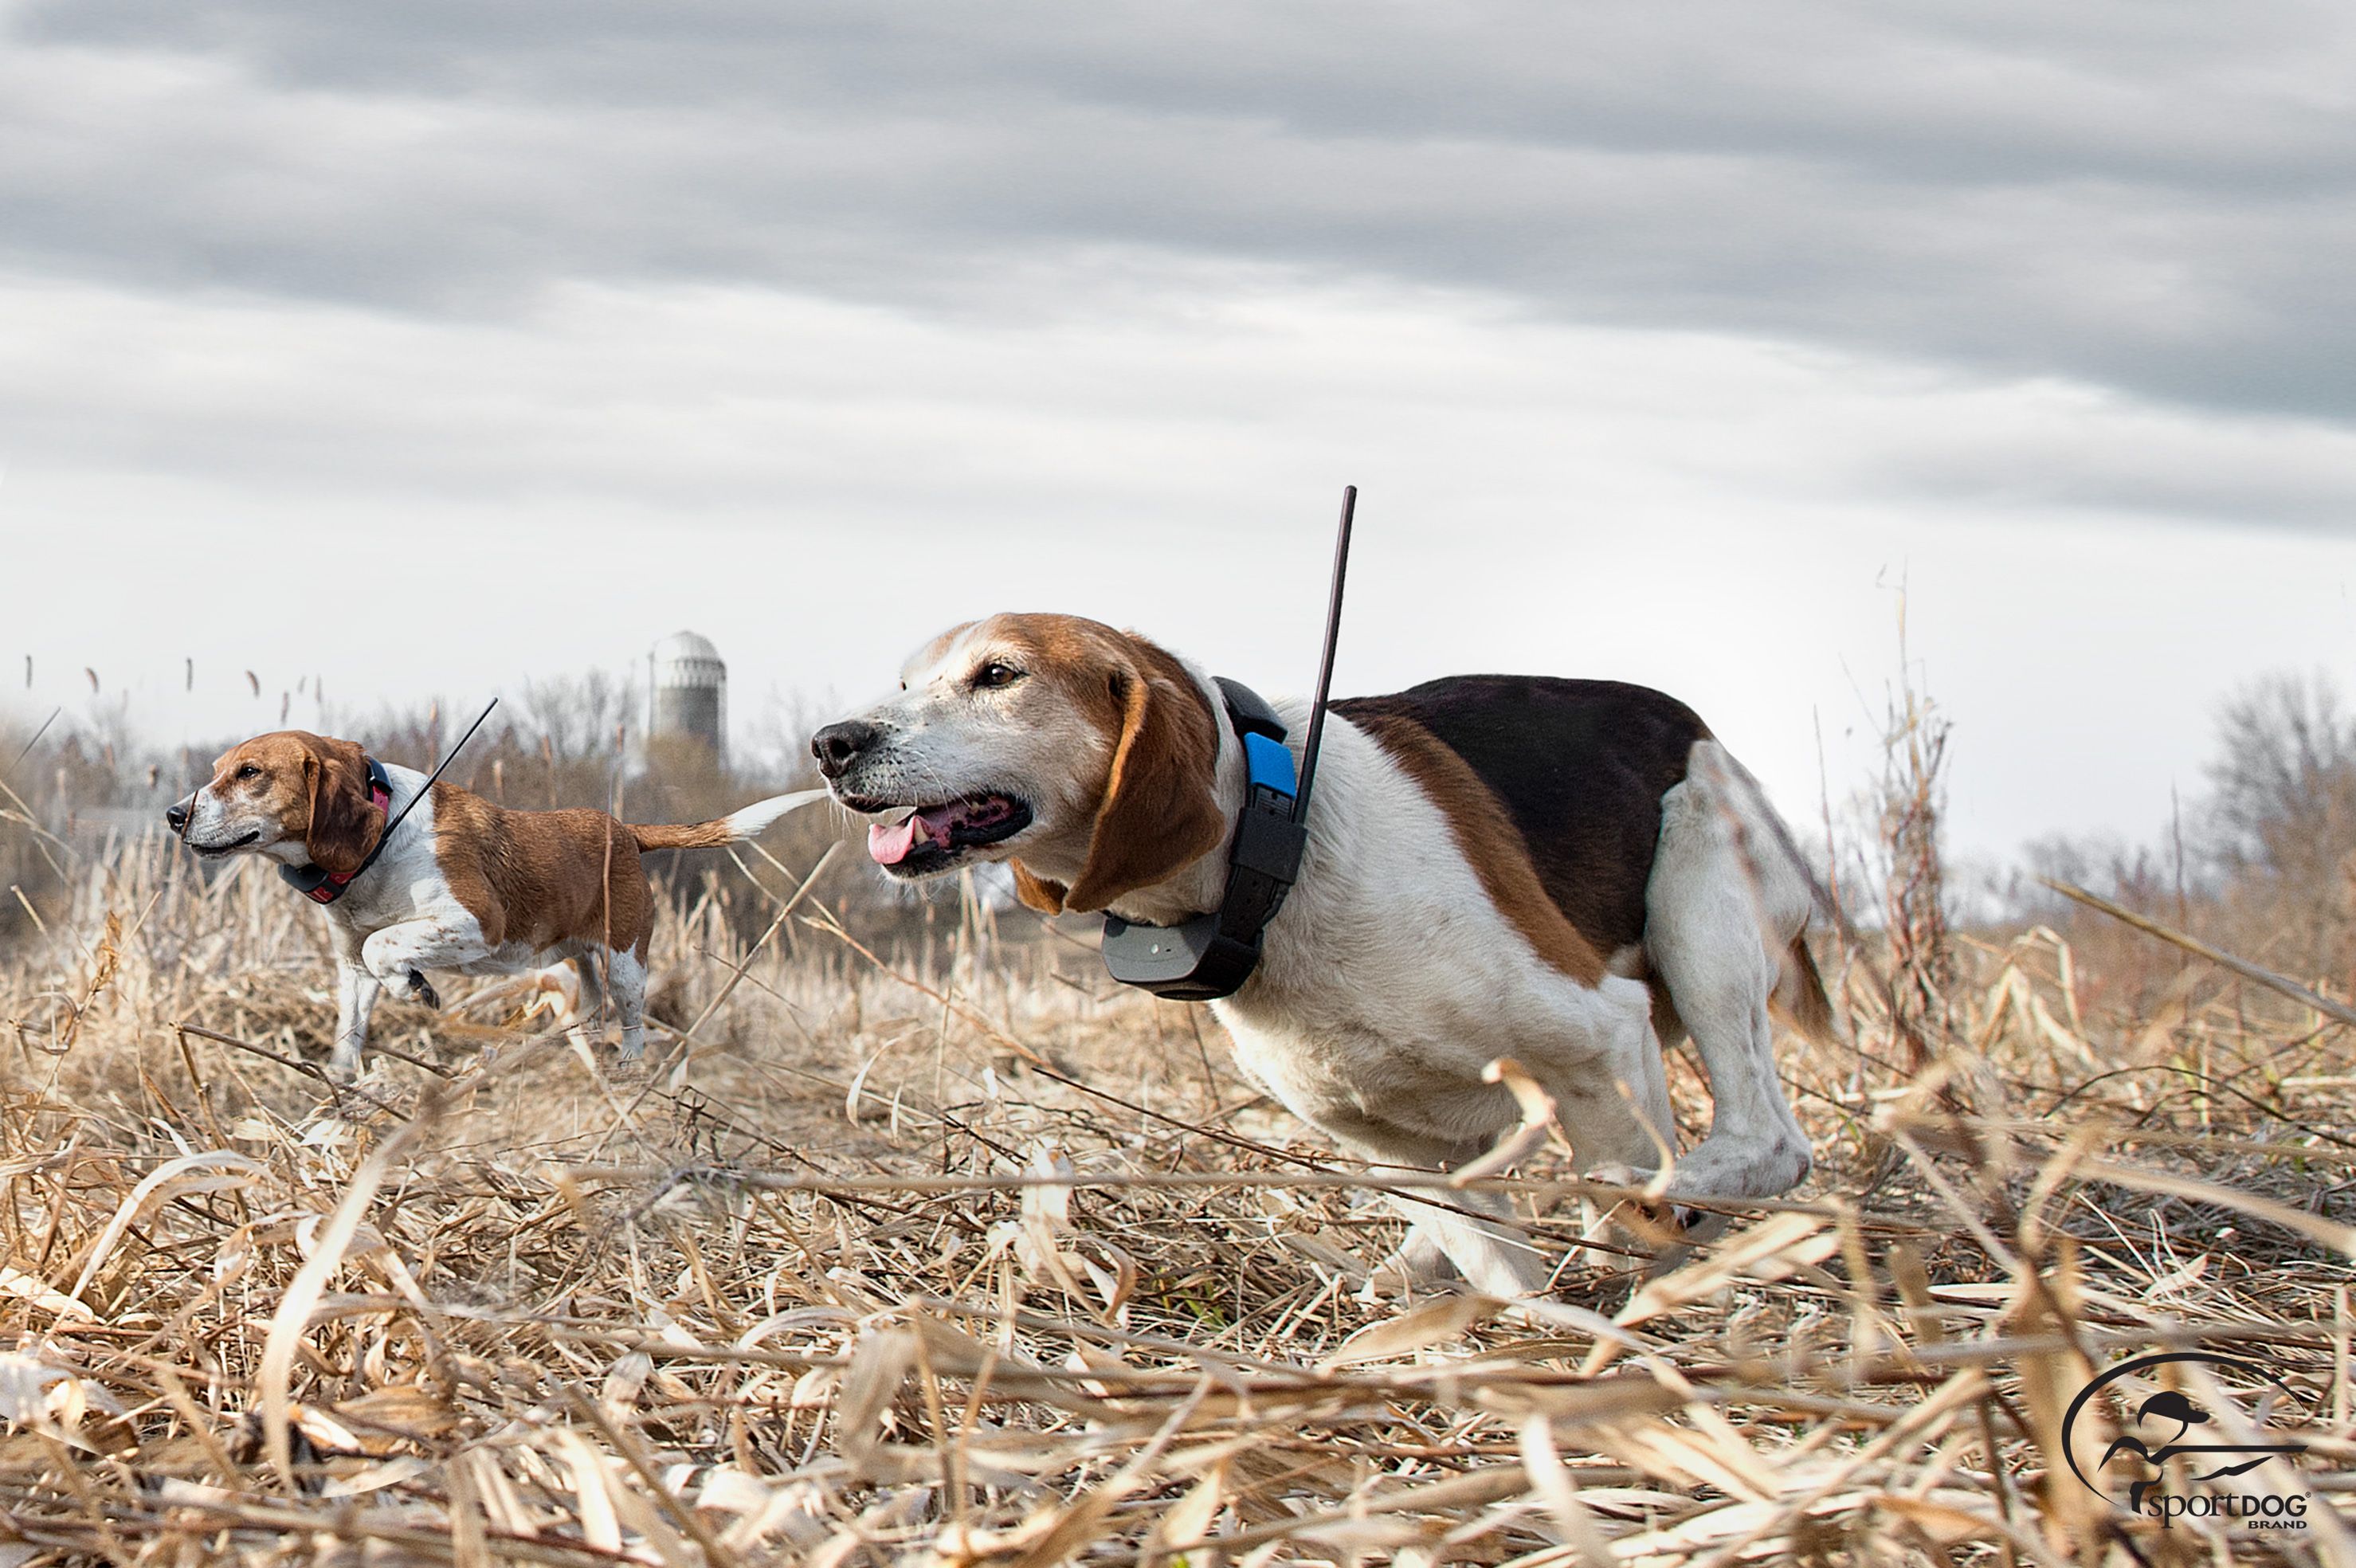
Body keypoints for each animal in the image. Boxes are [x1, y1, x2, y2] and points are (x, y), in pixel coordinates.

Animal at [171, 730, 824, 1073]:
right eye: (220, 768)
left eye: (251, 773)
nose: (175, 814)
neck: (381, 834)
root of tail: (625, 830)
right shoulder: (351, 967)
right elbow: (348, 1036)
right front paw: (339, 1101)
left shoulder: (475, 921)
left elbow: (389, 944)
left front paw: (415, 985)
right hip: (575, 959)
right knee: (589, 1009)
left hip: (626, 961)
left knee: (633, 1021)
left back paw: (628, 1071)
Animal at [815, 612, 1837, 1290]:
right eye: (906, 683)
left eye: (998, 675)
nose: (831, 742)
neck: (1272, 850)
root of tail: (1702, 731)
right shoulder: (1382, 1142)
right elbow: (1493, 1258)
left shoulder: (1600, 1039)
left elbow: (1623, 1224)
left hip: (1699, 894)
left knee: (1766, 1141)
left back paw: (1689, 1193)